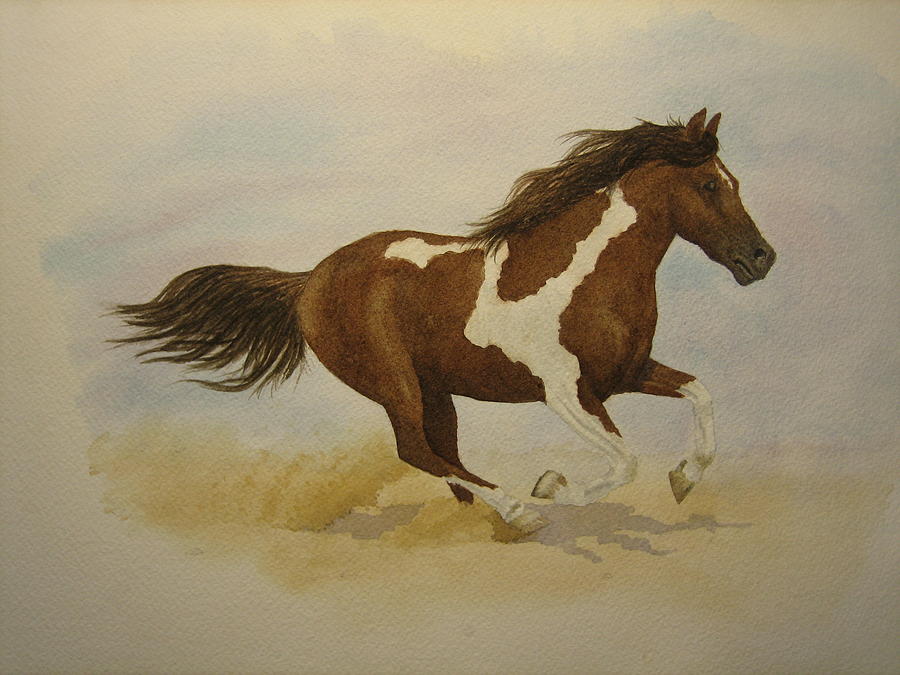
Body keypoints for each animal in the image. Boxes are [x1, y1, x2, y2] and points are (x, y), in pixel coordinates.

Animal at [115, 108, 776, 533]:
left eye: (734, 181)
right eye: (710, 184)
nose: (762, 258)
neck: (582, 275)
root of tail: (310, 280)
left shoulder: (627, 372)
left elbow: (701, 393)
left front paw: (685, 478)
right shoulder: (566, 392)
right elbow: (623, 461)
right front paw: (549, 487)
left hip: (435, 389)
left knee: (444, 453)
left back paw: (481, 514)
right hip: (395, 385)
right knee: (417, 450)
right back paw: (517, 511)